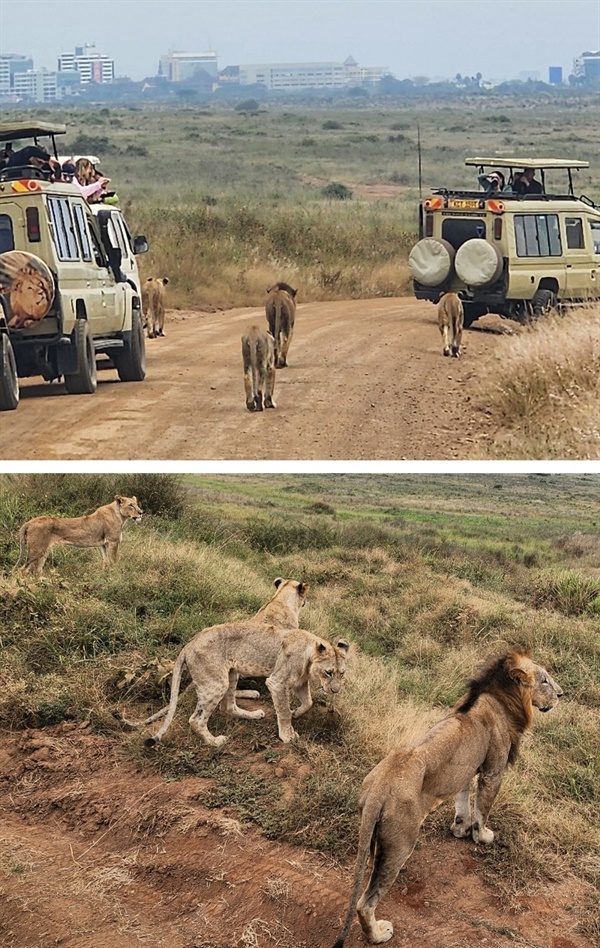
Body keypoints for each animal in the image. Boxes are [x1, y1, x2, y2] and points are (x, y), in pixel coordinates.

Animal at [14, 496, 144, 576]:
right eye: (131, 505)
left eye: (137, 504)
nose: (141, 512)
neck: (121, 516)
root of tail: (30, 522)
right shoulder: (113, 542)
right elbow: (113, 561)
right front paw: (116, 575)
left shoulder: (104, 544)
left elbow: (106, 562)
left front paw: (106, 576)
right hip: (37, 549)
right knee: (23, 570)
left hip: (44, 551)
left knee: (37, 570)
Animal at [332, 648, 564, 944]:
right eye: (545, 680)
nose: (561, 694)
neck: (500, 696)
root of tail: (377, 791)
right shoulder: (493, 770)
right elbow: (482, 808)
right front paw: (482, 836)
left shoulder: (464, 768)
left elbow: (462, 802)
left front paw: (460, 829)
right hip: (401, 842)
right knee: (365, 902)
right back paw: (379, 934)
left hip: (375, 836)